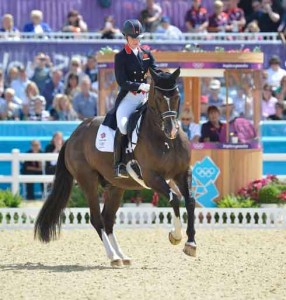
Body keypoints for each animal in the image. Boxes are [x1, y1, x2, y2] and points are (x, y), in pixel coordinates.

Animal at [34, 67, 197, 264]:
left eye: (177, 96)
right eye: (158, 97)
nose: (171, 130)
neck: (165, 140)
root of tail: (73, 136)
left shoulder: (182, 173)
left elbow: (190, 201)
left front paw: (191, 244)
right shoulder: (152, 177)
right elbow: (174, 198)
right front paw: (176, 236)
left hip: (115, 186)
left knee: (108, 219)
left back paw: (122, 256)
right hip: (88, 181)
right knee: (97, 219)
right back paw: (112, 256)